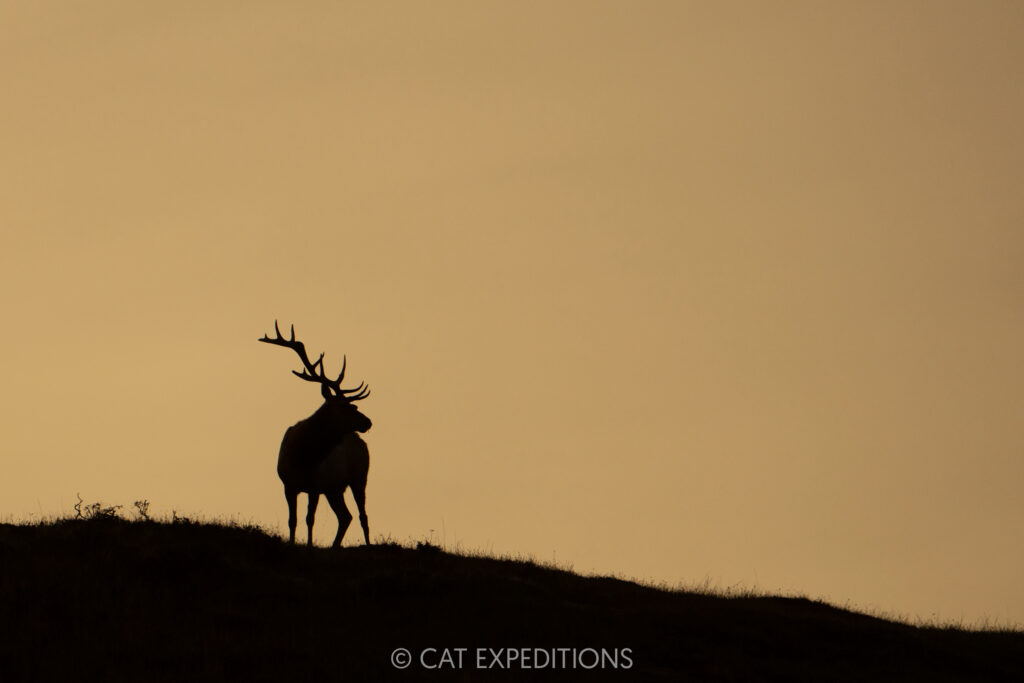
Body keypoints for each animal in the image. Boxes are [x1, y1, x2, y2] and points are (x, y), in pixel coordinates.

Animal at [259, 321, 373, 547]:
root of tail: (361, 441)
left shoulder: (314, 486)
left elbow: (309, 519)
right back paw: (335, 546)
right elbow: (292, 520)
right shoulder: (289, 485)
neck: (303, 456)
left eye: (353, 405)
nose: (368, 422)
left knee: (362, 516)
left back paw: (368, 545)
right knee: (345, 516)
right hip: (334, 489)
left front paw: (310, 546)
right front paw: (293, 544)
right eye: (348, 407)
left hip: (359, 477)